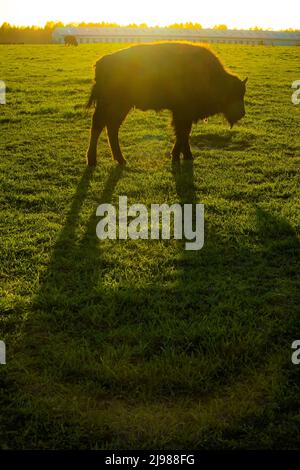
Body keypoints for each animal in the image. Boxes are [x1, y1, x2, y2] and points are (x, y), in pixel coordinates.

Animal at [85, 42, 247, 166]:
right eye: (234, 94)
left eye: (242, 93)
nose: (242, 113)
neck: (212, 77)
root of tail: (102, 62)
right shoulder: (183, 113)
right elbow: (182, 133)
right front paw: (181, 156)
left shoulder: (182, 114)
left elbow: (183, 134)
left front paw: (182, 156)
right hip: (116, 105)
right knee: (101, 125)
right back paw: (95, 160)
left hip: (119, 106)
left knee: (109, 127)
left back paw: (118, 160)